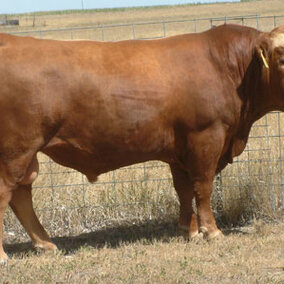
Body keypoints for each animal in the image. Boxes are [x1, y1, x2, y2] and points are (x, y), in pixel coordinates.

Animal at [0, 23, 284, 262]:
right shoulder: (206, 137)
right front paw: (211, 231)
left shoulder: (179, 149)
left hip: (24, 153)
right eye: (281, 58)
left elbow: (183, 189)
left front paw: (188, 230)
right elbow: (203, 187)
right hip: (16, 150)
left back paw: (46, 244)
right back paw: (6, 256)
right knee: (7, 193)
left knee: (21, 194)